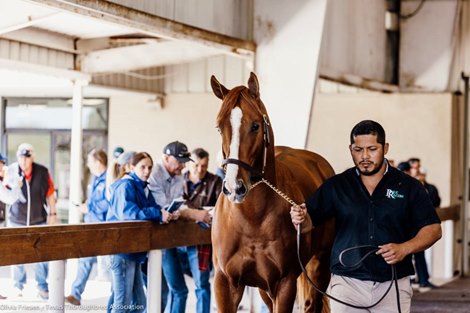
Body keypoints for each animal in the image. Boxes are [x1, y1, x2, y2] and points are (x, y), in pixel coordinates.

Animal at [211, 71, 336, 312]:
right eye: (219, 127)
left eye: (255, 126)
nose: (234, 188)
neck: (252, 218)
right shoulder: (225, 282)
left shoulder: (285, 283)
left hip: (319, 266)